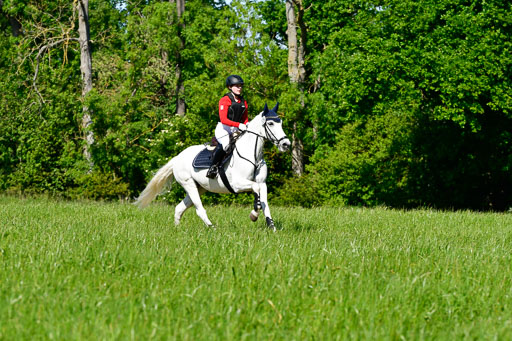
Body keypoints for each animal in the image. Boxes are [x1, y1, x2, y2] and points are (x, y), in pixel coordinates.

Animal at [134, 102, 290, 230]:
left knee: (179, 208)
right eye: (271, 123)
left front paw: (271, 226)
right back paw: (212, 227)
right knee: (199, 209)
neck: (253, 155)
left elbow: (263, 201)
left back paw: (177, 229)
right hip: (189, 184)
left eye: (281, 123)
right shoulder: (237, 184)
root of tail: (177, 158)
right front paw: (253, 215)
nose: (286, 144)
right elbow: (256, 190)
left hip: (199, 187)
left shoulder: (262, 183)